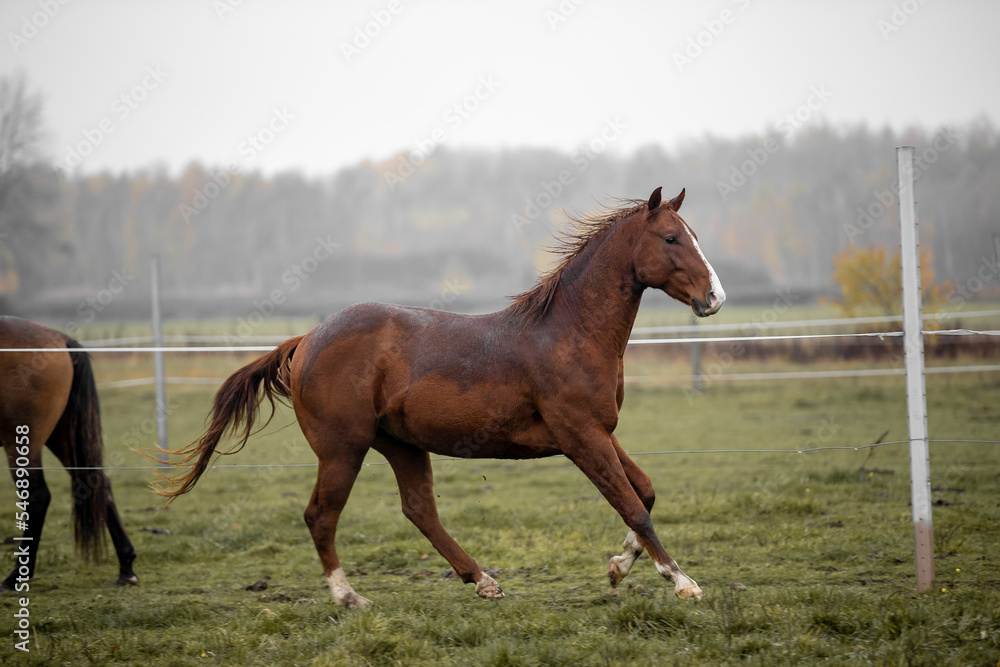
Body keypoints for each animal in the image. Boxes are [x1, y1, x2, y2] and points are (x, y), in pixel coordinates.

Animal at [0, 317, 138, 590]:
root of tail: (60, 339)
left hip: (23, 440)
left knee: (38, 496)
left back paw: (16, 576)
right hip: (63, 436)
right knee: (98, 482)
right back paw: (126, 566)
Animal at [159, 186, 724, 607]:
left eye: (693, 235)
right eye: (671, 238)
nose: (714, 297)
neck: (569, 332)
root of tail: (307, 340)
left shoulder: (600, 431)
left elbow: (644, 491)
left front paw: (618, 568)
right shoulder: (580, 436)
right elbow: (632, 505)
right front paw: (683, 582)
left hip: (400, 445)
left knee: (418, 510)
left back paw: (484, 581)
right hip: (343, 448)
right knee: (321, 515)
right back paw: (350, 598)